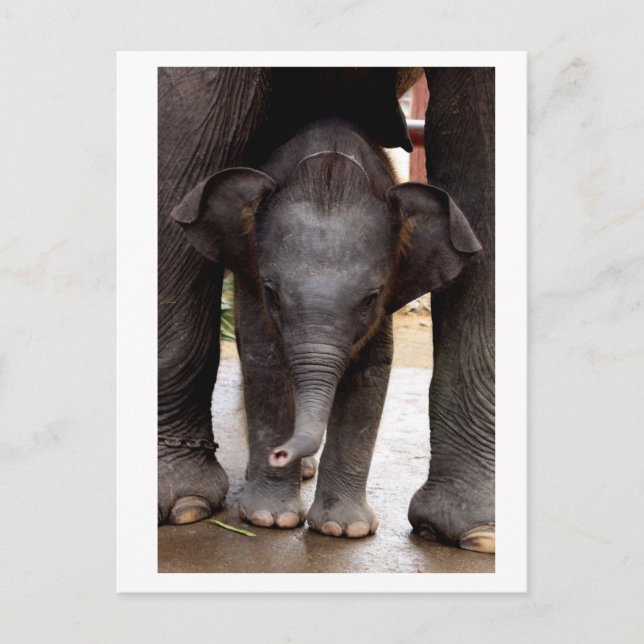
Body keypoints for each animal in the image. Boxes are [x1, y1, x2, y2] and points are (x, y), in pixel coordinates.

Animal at [157, 67, 495, 552]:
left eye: (370, 298)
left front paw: (344, 530)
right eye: (272, 293)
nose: (283, 451)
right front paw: (269, 518)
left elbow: (371, 373)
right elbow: (265, 363)